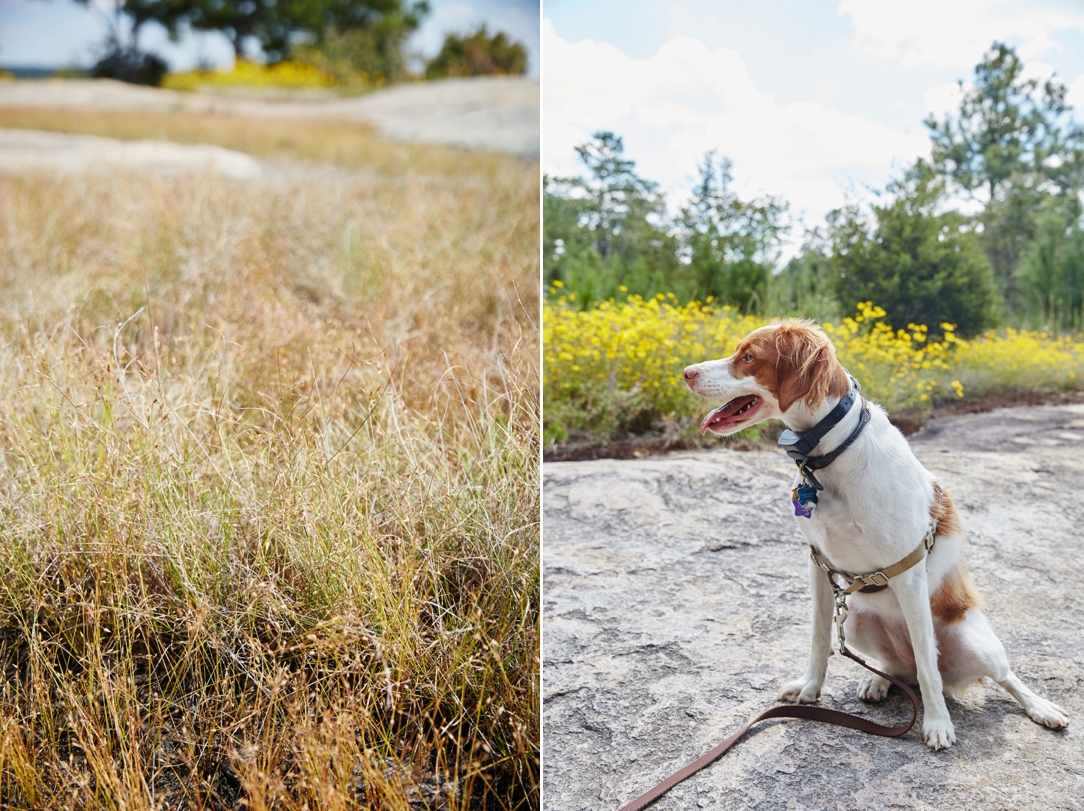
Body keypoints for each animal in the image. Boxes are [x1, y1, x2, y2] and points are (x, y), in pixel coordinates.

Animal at [685, 320, 1066, 745]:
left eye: (749, 356)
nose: (686, 373)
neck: (833, 455)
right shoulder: (817, 563)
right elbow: (819, 639)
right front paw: (809, 689)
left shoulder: (909, 575)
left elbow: (928, 664)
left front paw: (937, 724)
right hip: (854, 620)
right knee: (900, 668)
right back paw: (879, 682)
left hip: (977, 645)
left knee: (989, 674)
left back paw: (1040, 707)